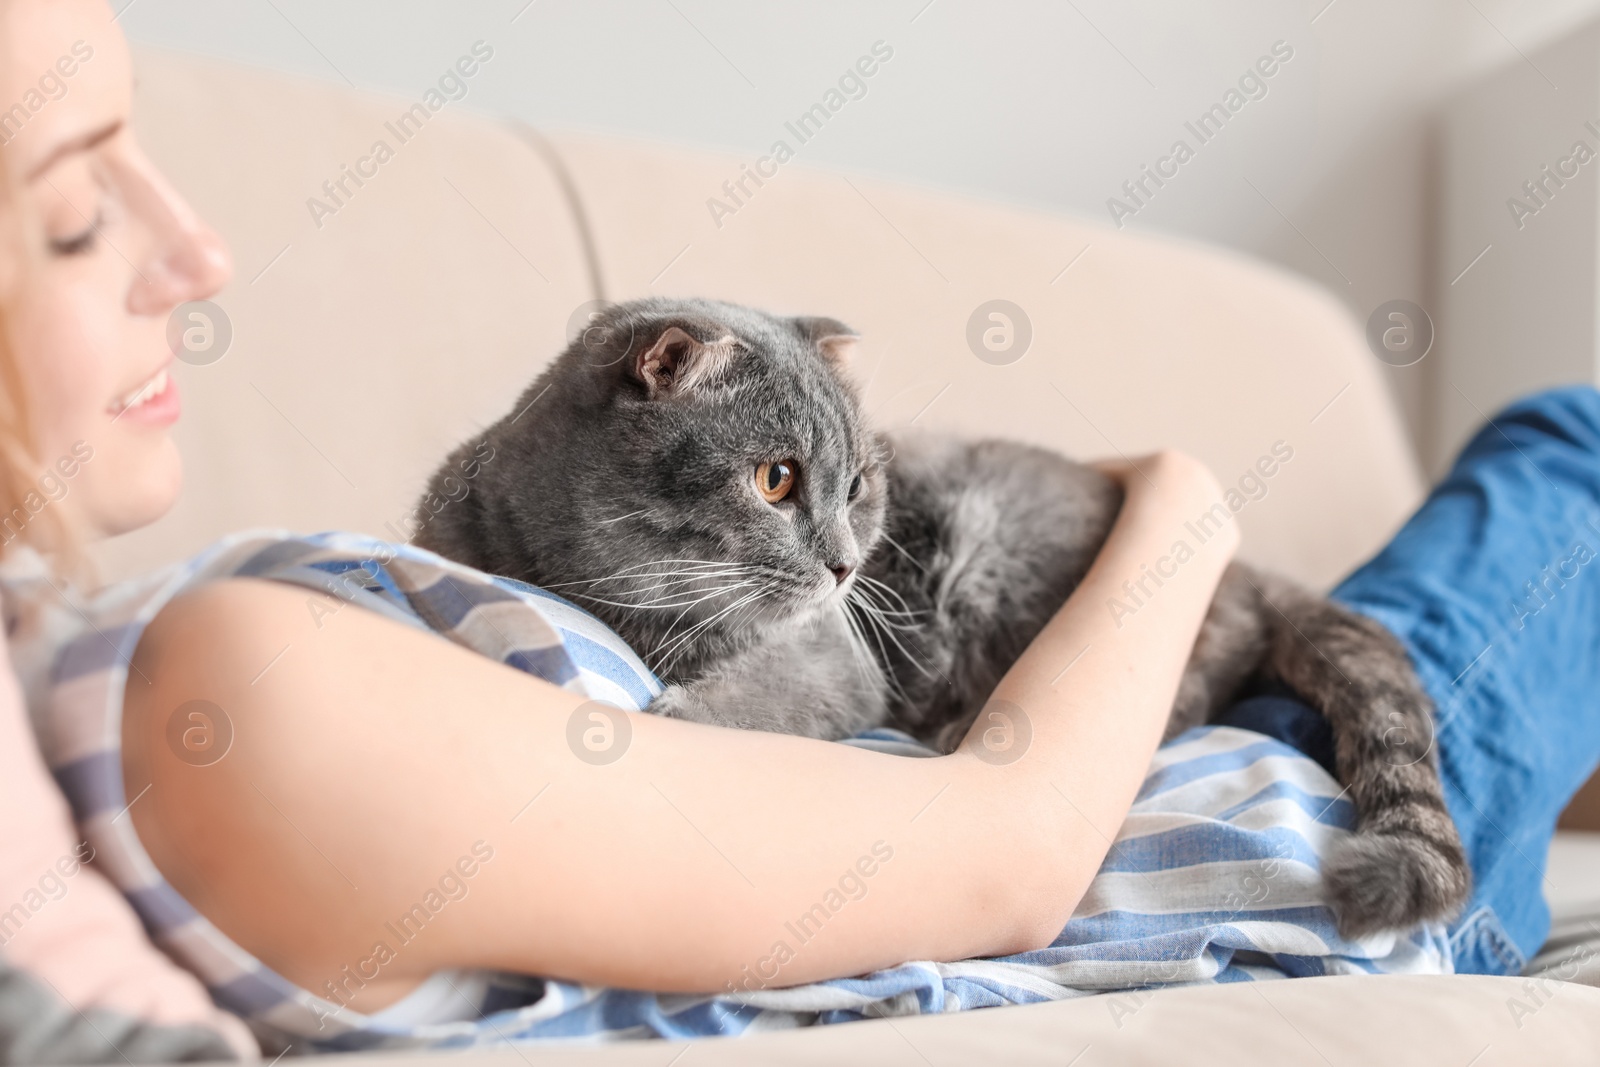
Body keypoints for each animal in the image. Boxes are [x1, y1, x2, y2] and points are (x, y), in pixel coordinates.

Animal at [419, 295, 1465, 940]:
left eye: (858, 484)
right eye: (776, 478)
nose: (847, 562)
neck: (628, 599)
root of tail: (1244, 568)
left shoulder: (833, 660)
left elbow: (767, 691)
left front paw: (688, 713)